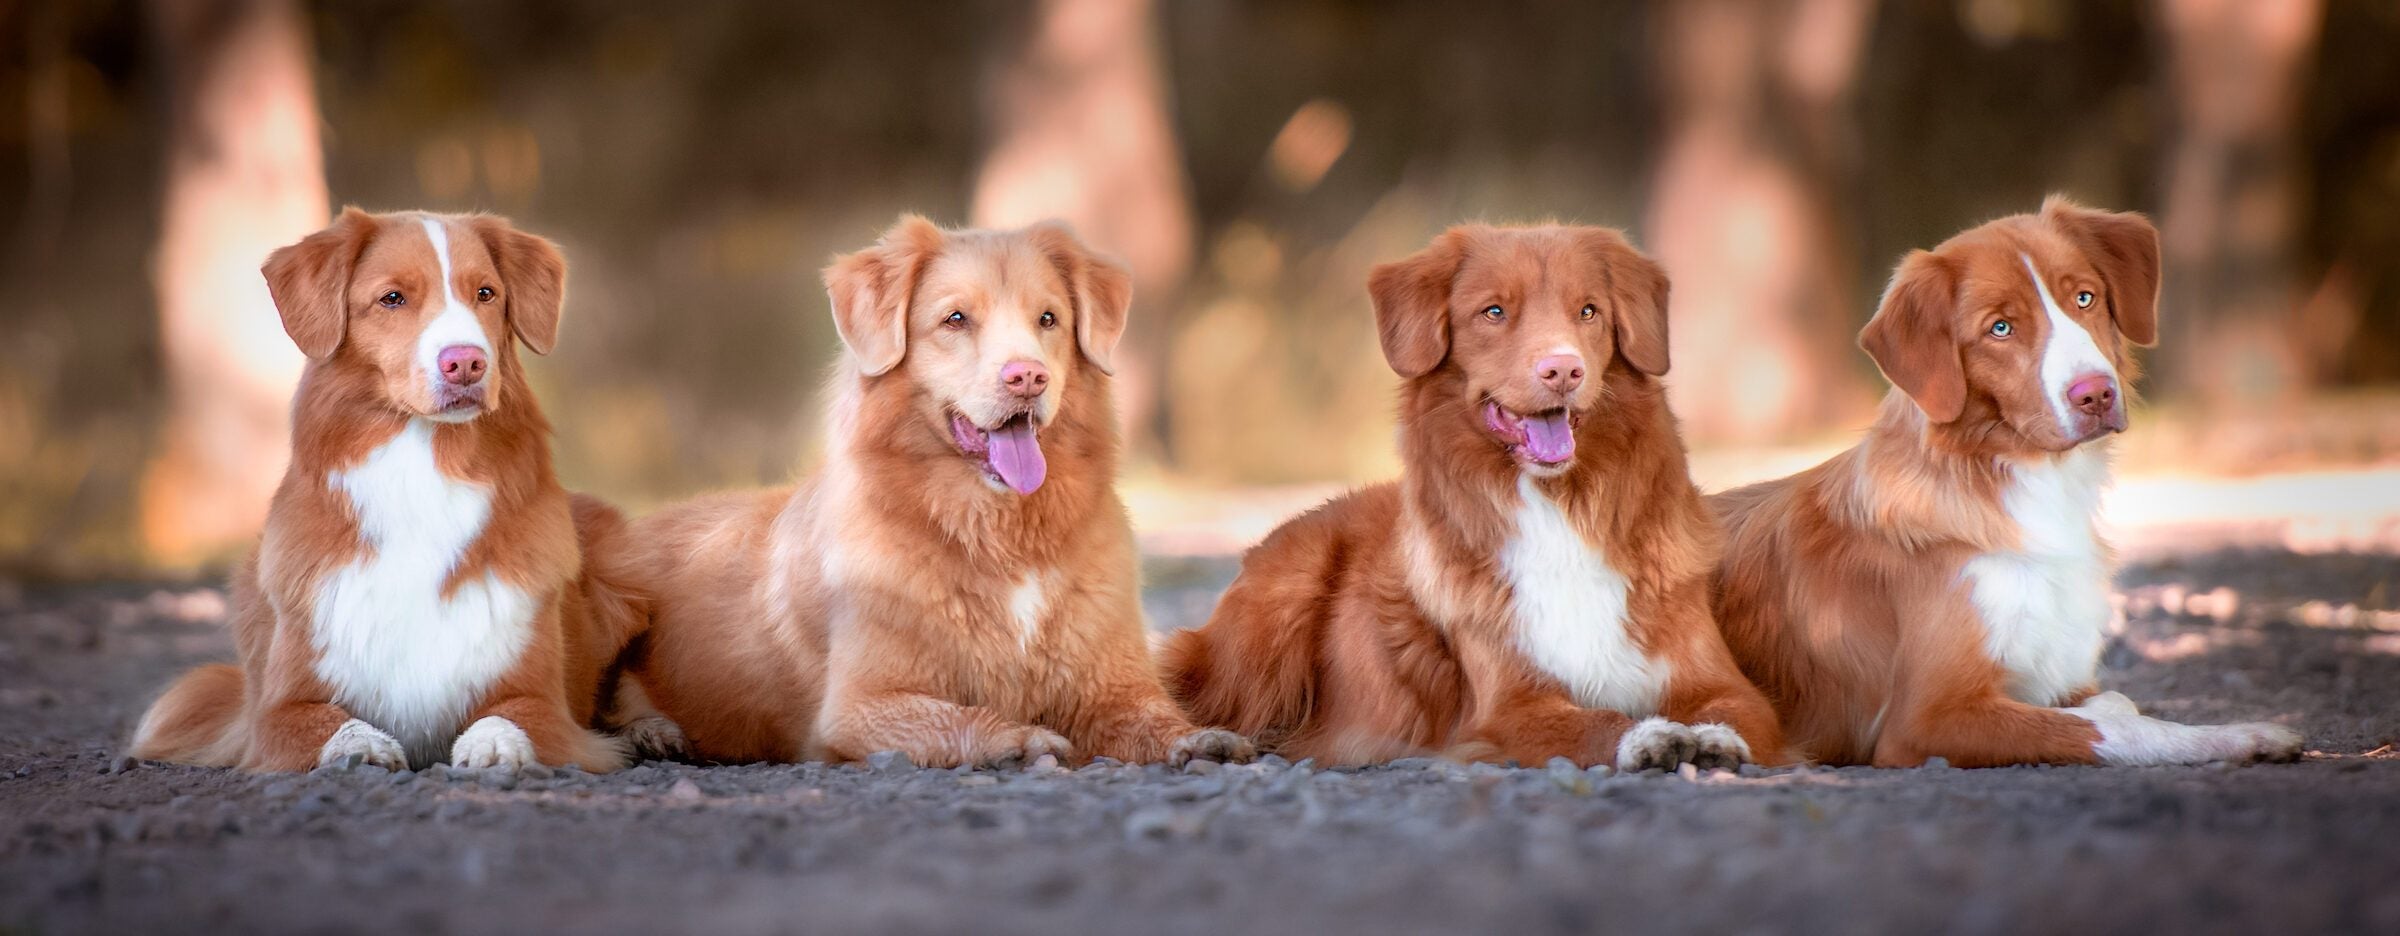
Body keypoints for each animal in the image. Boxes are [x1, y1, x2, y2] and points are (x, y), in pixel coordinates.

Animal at [131, 208, 633, 772]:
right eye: (392, 298)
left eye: (485, 293)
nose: (466, 362)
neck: (420, 475)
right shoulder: (276, 713)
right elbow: (323, 721)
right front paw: (359, 745)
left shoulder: (543, 700)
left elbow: (511, 716)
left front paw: (493, 746)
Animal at [590, 217, 1257, 768]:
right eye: (955, 319)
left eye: (1048, 320)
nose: (1028, 377)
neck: (998, 532)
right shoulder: (860, 706)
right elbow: (958, 716)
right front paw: (1020, 739)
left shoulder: (1110, 683)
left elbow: (1152, 716)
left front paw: (1198, 739)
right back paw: (652, 733)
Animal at [1161, 224, 1785, 768]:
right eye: (1494, 312)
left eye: (1588, 311)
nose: (1564, 369)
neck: (1560, 508)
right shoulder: (1509, 707)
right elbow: (1597, 722)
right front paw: (1649, 736)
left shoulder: (1723, 682)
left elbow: (1734, 711)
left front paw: (1710, 739)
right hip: (1278, 605)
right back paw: (1205, 742)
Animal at [1708, 195, 2304, 768]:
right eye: (2000, 328)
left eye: (2083, 298)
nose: (2095, 394)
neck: (2030, 484)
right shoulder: (1927, 718)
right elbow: (2114, 726)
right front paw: (2239, 736)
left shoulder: (2057, 675)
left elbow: (2116, 702)